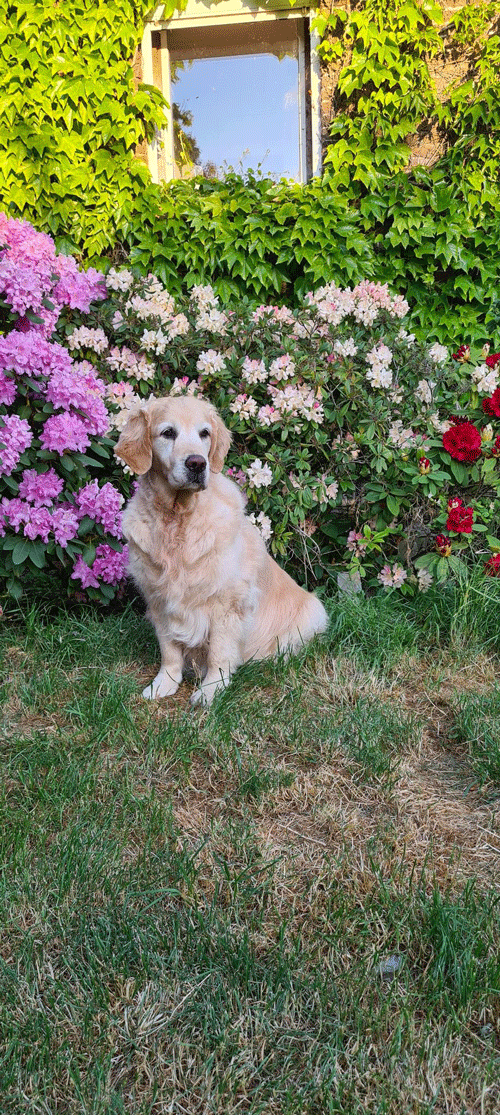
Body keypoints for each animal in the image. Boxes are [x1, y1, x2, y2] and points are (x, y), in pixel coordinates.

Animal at [114, 394, 330, 704]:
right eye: (168, 433)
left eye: (204, 433)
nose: (197, 463)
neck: (178, 518)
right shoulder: (159, 599)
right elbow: (169, 651)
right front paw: (163, 684)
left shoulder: (226, 602)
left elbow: (218, 652)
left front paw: (210, 690)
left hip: (314, 611)